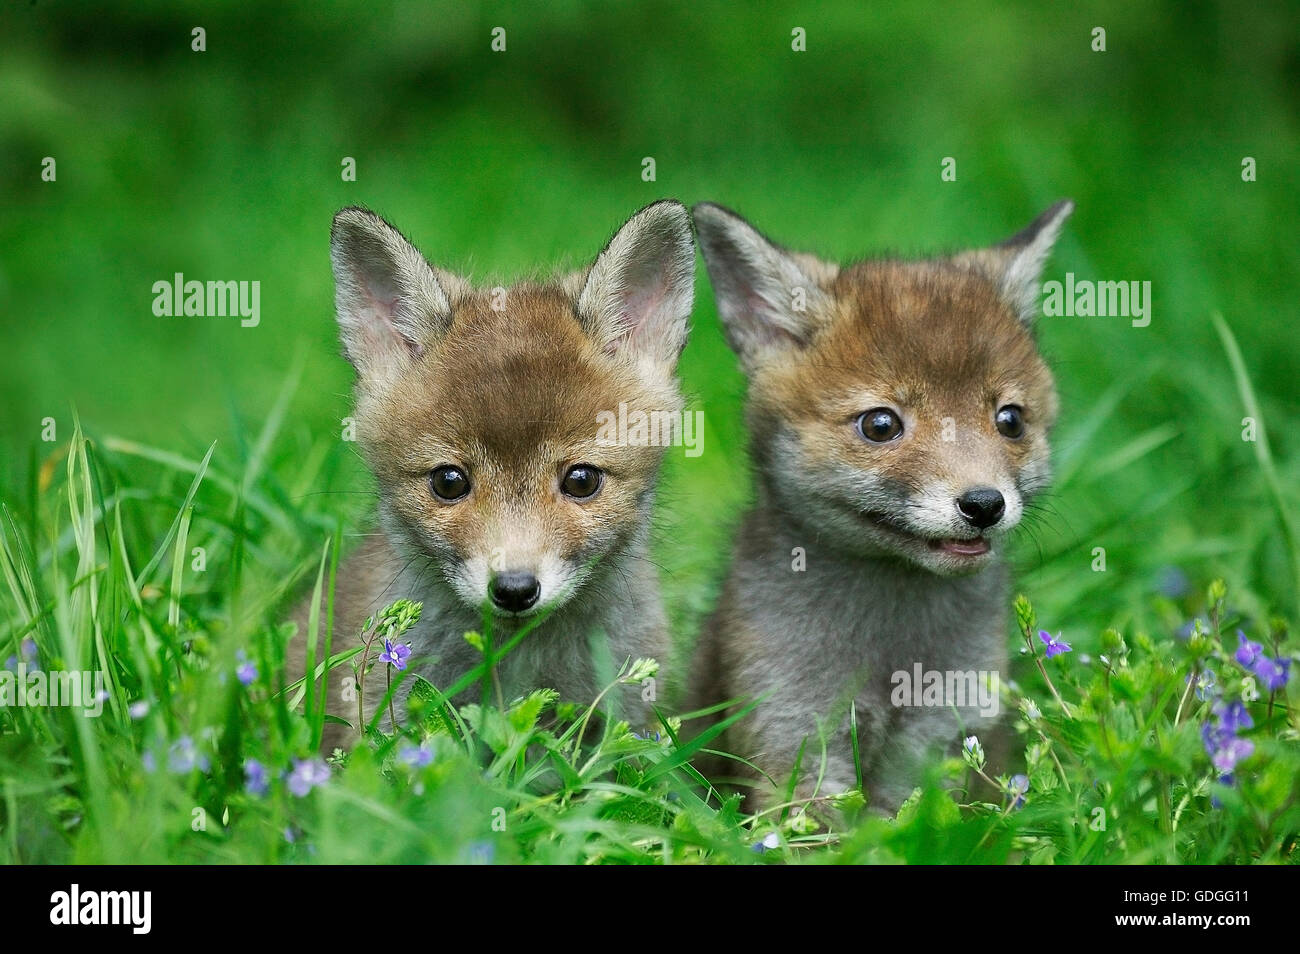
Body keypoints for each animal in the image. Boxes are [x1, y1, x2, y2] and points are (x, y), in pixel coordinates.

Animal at [289, 200, 696, 752]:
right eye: (449, 482)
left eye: (582, 480)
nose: (515, 589)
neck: (517, 662)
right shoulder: (383, 717)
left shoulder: (628, 719)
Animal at [688, 200, 1074, 812]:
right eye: (880, 424)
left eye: (1010, 420)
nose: (984, 503)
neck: (891, 654)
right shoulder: (793, 734)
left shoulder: (941, 738)